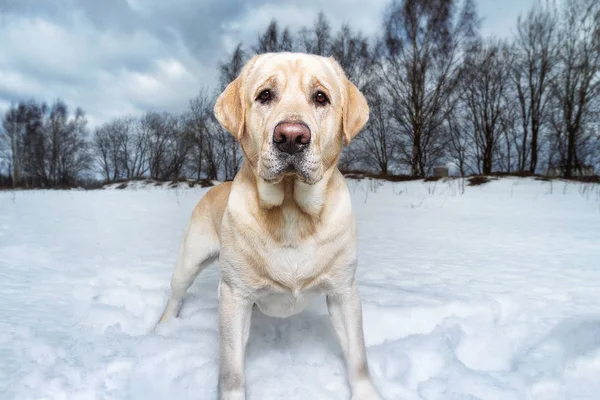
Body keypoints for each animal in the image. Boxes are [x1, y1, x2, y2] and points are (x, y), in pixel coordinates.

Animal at [156, 51, 380, 398]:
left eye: (321, 97)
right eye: (264, 95)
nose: (291, 137)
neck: (291, 211)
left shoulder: (344, 291)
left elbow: (358, 357)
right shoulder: (234, 297)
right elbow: (232, 371)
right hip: (189, 261)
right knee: (175, 296)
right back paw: (163, 329)